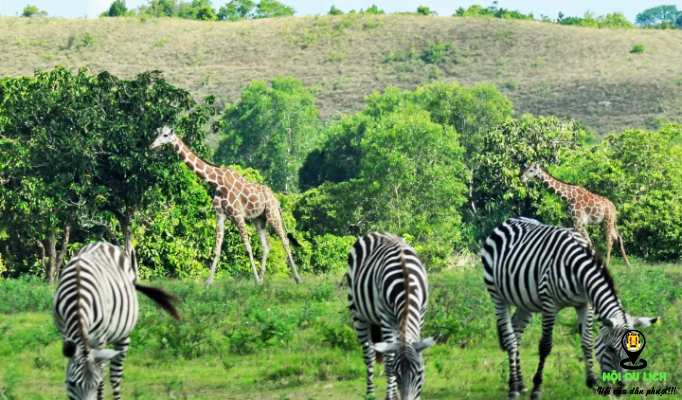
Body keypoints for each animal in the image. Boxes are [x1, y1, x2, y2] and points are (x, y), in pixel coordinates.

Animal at [52, 244, 181, 400]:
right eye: (72, 384)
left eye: (95, 385)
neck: (78, 297)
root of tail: (102, 243)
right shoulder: (66, 334)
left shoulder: (100, 340)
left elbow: (102, 379)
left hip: (123, 336)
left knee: (115, 376)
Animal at [150, 126, 302, 286]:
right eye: (158, 134)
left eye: (165, 135)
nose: (152, 146)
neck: (217, 182)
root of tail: (276, 200)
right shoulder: (220, 215)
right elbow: (217, 249)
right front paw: (208, 284)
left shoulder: (238, 215)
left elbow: (248, 248)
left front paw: (254, 280)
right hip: (259, 220)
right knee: (266, 246)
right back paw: (261, 280)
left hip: (272, 214)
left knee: (285, 241)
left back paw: (297, 278)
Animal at [346, 231, 436, 400]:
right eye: (397, 373)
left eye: (420, 373)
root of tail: (376, 232)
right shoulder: (387, 319)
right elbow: (389, 361)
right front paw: (391, 396)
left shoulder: (420, 316)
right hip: (359, 315)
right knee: (369, 356)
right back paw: (370, 394)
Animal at [478, 217, 660, 398]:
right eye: (611, 349)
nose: (620, 389)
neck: (577, 270)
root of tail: (509, 220)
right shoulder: (549, 304)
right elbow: (545, 346)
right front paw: (537, 388)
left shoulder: (585, 305)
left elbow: (587, 343)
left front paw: (592, 383)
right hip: (497, 296)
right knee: (510, 339)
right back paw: (513, 388)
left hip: (525, 302)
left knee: (516, 334)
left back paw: (521, 385)